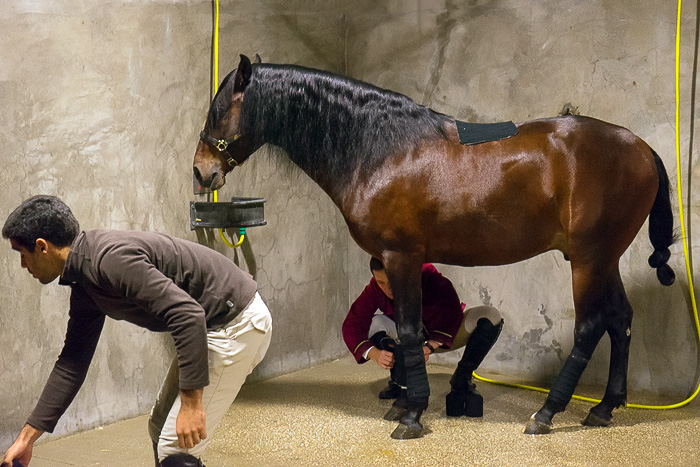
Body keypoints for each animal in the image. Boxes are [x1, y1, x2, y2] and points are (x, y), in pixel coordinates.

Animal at [194, 54, 676, 438]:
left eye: (218, 110)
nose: (201, 172)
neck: (381, 150)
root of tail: (641, 147)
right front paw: (405, 404)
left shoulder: (402, 257)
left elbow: (410, 332)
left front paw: (412, 415)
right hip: (604, 258)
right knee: (620, 320)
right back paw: (604, 407)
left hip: (589, 260)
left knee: (591, 327)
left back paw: (546, 413)